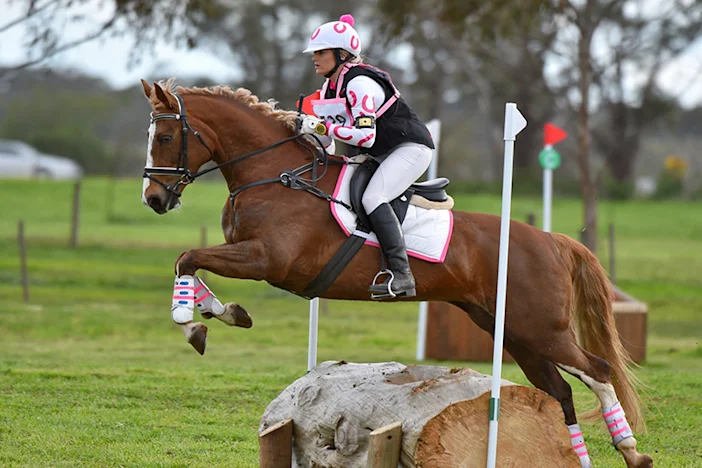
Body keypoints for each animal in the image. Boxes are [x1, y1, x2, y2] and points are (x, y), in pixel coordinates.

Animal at [139, 78, 652, 468]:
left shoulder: (267, 260)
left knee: (598, 371)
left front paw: (193, 324)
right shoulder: (247, 254)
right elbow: (189, 261)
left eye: (164, 138)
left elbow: (187, 257)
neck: (276, 174)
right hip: (511, 330)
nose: (154, 200)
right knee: (561, 391)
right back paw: (582, 456)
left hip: (541, 328)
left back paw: (631, 451)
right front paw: (218, 313)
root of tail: (552, 240)